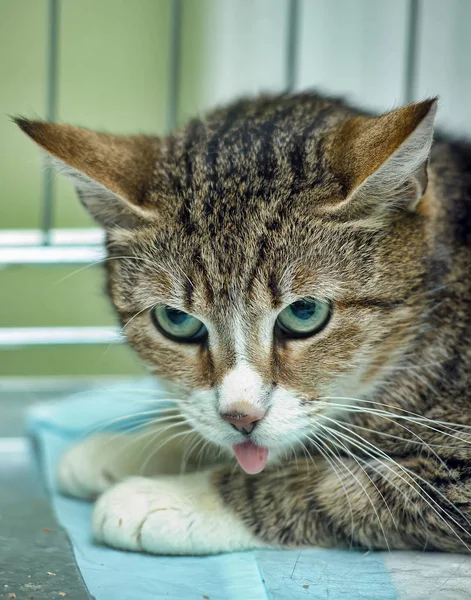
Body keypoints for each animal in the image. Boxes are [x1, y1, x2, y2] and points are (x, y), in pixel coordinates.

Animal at [15, 91, 471, 556]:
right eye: (176, 320)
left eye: (304, 313)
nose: (241, 417)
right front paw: (132, 448)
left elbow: (336, 486)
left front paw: (172, 499)